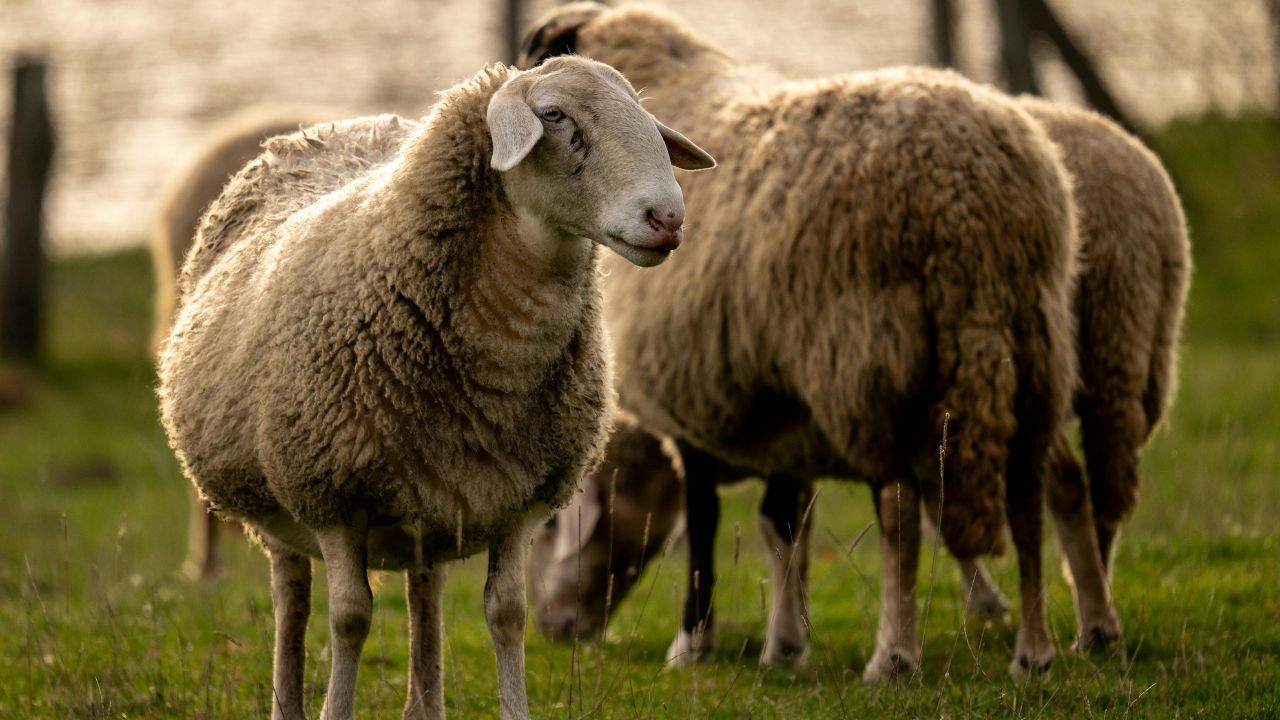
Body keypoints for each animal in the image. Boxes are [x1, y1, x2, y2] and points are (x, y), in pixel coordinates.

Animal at [519, 3, 1081, 680]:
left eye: (555, 530)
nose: (554, 631)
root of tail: (974, 209)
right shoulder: (779, 404)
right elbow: (782, 522)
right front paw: (785, 644)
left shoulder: (694, 396)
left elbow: (706, 521)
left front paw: (693, 642)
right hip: (1032, 349)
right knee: (1026, 494)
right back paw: (1035, 651)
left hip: (865, 362)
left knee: (899, 506)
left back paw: (895, 655)